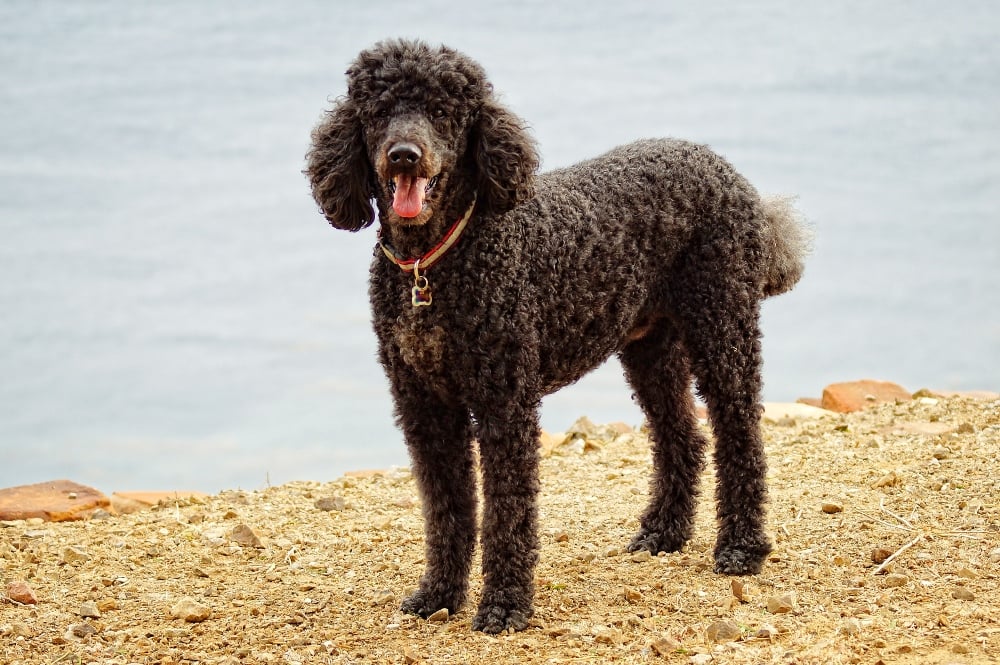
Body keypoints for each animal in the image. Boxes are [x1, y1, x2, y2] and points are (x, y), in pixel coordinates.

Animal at [302, 37, 804, 632]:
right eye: (377, 113)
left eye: (443, 113)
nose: (404, 154)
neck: (436, 259)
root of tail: (725, 168)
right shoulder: (423, 404)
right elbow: (445, 508)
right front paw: (439, 594)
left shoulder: (505, 404)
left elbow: (507, 509)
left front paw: (503, 605)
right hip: (651, 348)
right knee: (681, 434)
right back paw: (663, 531)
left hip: (722, 325)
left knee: (740, 434)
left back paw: (742, 547)